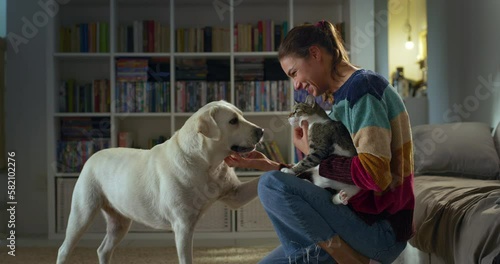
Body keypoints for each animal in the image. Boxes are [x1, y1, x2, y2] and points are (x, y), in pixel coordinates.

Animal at [56, 99, 264, 264]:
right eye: (233, 121)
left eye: (242, 116)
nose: (261, 130)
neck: (206, 163)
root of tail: (92, 156)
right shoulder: (183, 225)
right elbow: (186, 259)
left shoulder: (236, 195)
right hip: (82, 213)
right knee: (64, 249)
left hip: (119, 223)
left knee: (103, 250)